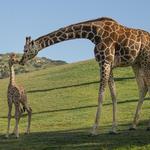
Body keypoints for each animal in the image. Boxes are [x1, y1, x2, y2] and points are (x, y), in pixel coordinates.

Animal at [19, 17, 150, 134]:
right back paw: (133, 125)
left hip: (145, 60)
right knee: (143, 87)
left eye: (25, 50)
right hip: (136, 63)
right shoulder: (108, 64)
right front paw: (113, 128)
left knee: (146, 85)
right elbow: (114, 95)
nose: (21, 61)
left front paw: (94, 130)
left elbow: (101, 95)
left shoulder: (105, 62)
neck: (93, 33)